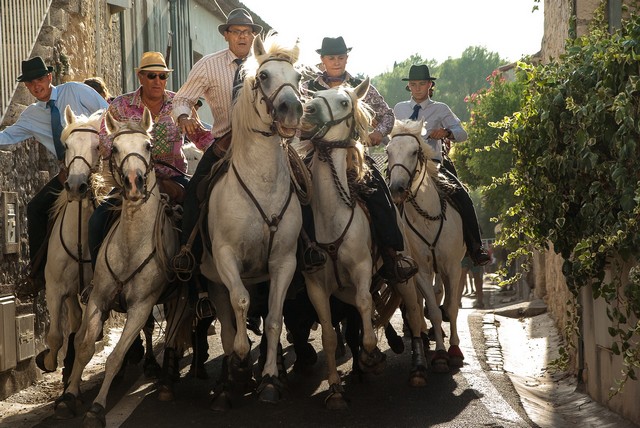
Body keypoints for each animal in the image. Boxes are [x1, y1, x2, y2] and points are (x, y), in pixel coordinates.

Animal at [35, 106, 105, 384]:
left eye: (98, 146)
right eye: (66, 145)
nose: (75, 186)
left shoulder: (93, 293)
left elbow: (82, 336)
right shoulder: (55, 289)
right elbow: (55, 335)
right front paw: (49, 361)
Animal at [55, 108, 179, 424]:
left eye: (148, 145)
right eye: (115, 148)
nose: (134, 183)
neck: (132, 246)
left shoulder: (141, 306)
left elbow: (115, 356)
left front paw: (98, 407)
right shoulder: (99, 298)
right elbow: (84, 346)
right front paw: (70, 395)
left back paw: (166, 377)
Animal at [198, 34, 302, 408]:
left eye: (298, 77)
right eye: (265, 77)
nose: (291, 110)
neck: (262, 183)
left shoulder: (284, 261)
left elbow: (273, 319)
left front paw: (270, 378)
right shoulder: (226, 257)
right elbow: (240, 304)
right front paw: (243, 360)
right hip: (212, 281)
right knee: (228, 324)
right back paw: (230, 378)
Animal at [300, 78, 430, 410]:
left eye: (345, 102)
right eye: (314, 93)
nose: (307, 110)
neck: (332, 215)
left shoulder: (360, 270)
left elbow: (365, 307)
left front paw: (372, 357)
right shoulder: (316, 285)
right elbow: (330, 335)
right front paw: (335, 389)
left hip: (403, 276)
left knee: (413, 312)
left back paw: (418, 368)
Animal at [384, 119, 464, 372]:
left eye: (414, 152)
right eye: (388, 152)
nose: (397, 189)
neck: (428, 217)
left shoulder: (452, 267)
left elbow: (451, 307)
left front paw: (455, 350)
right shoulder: (421, 270)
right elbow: (433, 310)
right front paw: (440, 354)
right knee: (421, 303)